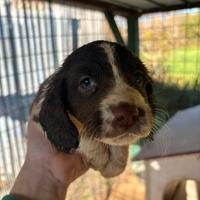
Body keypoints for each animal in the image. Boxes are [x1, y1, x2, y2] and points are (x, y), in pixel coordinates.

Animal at [31, 40, 154, 177]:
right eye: (86, 82)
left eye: (138, 78)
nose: (128, 113)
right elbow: (79, 133)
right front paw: (98, 155)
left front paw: (117, 161)